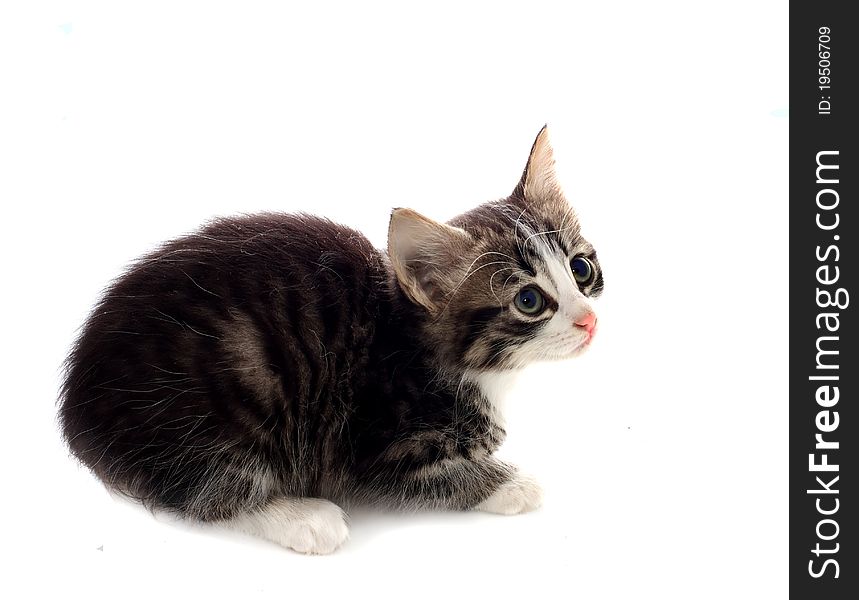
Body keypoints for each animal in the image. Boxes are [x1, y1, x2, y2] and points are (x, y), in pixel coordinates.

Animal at [60, 125, 604, 552]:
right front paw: (515, 483)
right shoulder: (375, 447)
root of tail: (78, 407)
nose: (589, 322)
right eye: (529, 301)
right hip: (221, 396)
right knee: (207, 488)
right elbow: (442, 477)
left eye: (581, 269)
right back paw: (303, 517)